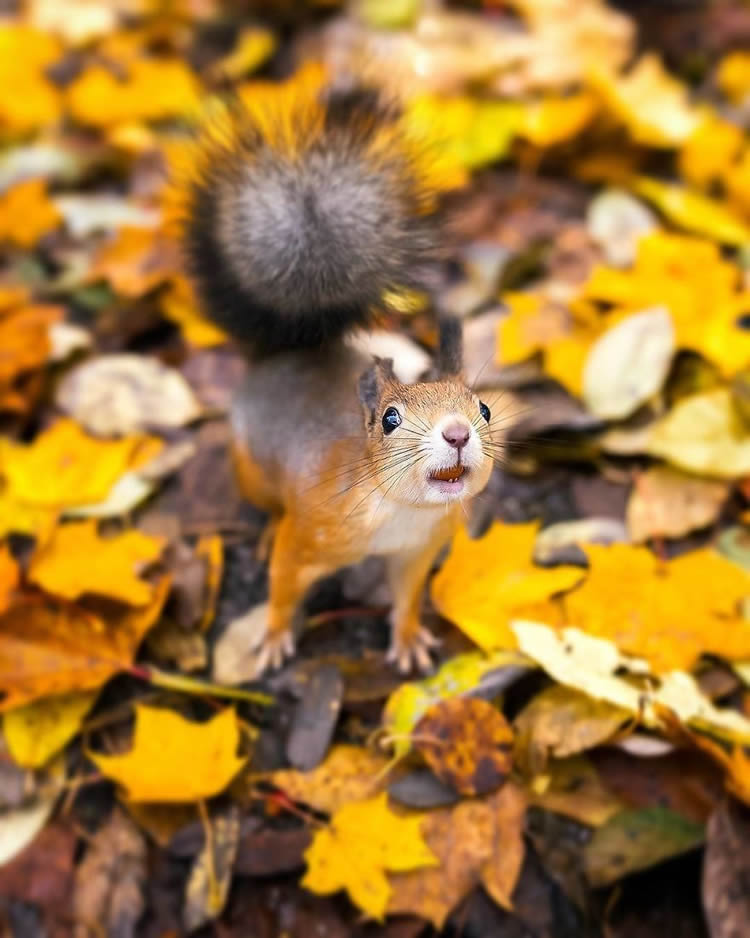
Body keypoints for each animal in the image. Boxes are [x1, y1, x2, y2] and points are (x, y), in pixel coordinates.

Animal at [183, 71, 500, 672]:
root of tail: (286, 353)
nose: (457, 433)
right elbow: (283, 583)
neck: (401, 512)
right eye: (390, 419)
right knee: (267, 509)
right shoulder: (309, 532)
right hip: (250, 472)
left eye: (485, 409)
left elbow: (407, 596)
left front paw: (407, 638)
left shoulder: (415, 553)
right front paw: (274, 637)